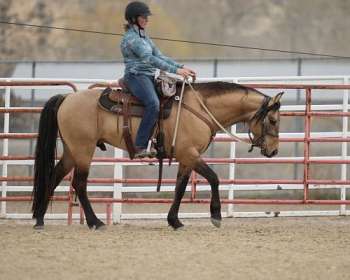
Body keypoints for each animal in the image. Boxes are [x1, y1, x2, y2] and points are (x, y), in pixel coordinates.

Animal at [32, 81, 284, 230]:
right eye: (273, 120)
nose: (273, 150)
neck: (199, 109)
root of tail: (67, 98)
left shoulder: (186, 158)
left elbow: (180, 187)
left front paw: (174, 220)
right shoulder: (190, 154)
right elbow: (214, 178)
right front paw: (216, 215)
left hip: (71, 151)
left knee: (54, 177)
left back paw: (40, 219)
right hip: (83, 150)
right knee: (79, 184)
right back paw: (95, 222)